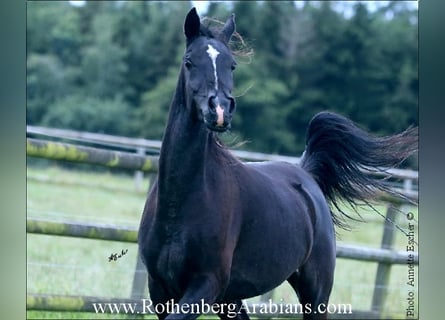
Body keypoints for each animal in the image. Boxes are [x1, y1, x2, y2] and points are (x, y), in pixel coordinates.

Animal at [138, 8, 416, 320]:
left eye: (232, 65)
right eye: (189, 62)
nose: (219, 111)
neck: (180, 203)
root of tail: (305, 172)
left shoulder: (205, 285)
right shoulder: (160, 289)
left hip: (315, 289)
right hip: (231, 299)